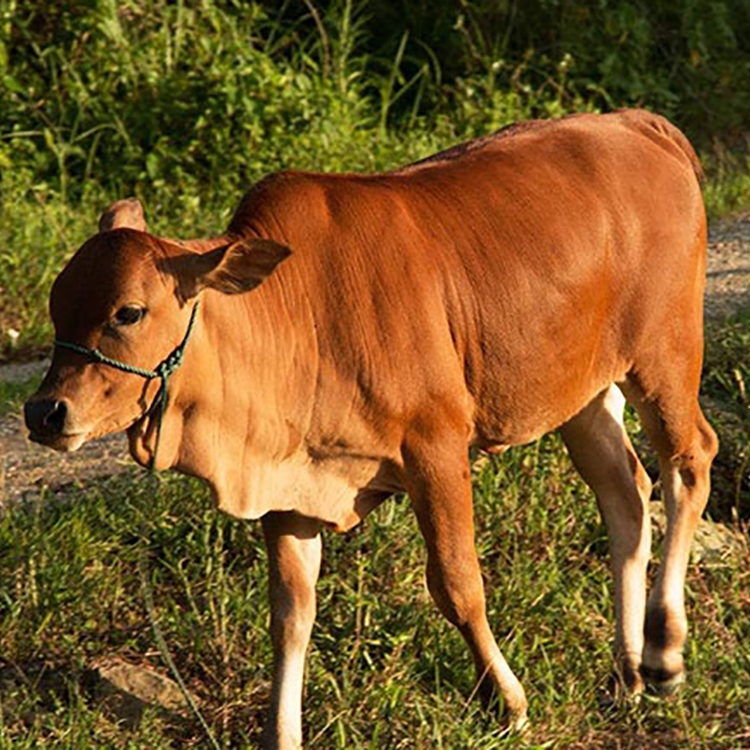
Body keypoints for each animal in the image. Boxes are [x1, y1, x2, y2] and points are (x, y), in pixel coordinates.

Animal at [25, 108, 716, 748]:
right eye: (57, 304)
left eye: (128, 312)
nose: (44, 411)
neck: (298, 311)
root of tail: (638, 124)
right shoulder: (291, 486)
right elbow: (290, 618)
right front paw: (283, 734)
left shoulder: (436, 446)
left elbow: (458, 584)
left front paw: (508, 701)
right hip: (583, 392)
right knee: (626, 493)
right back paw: (626, 673)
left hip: (665, 353)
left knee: (689, 464)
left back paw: (663, 653)